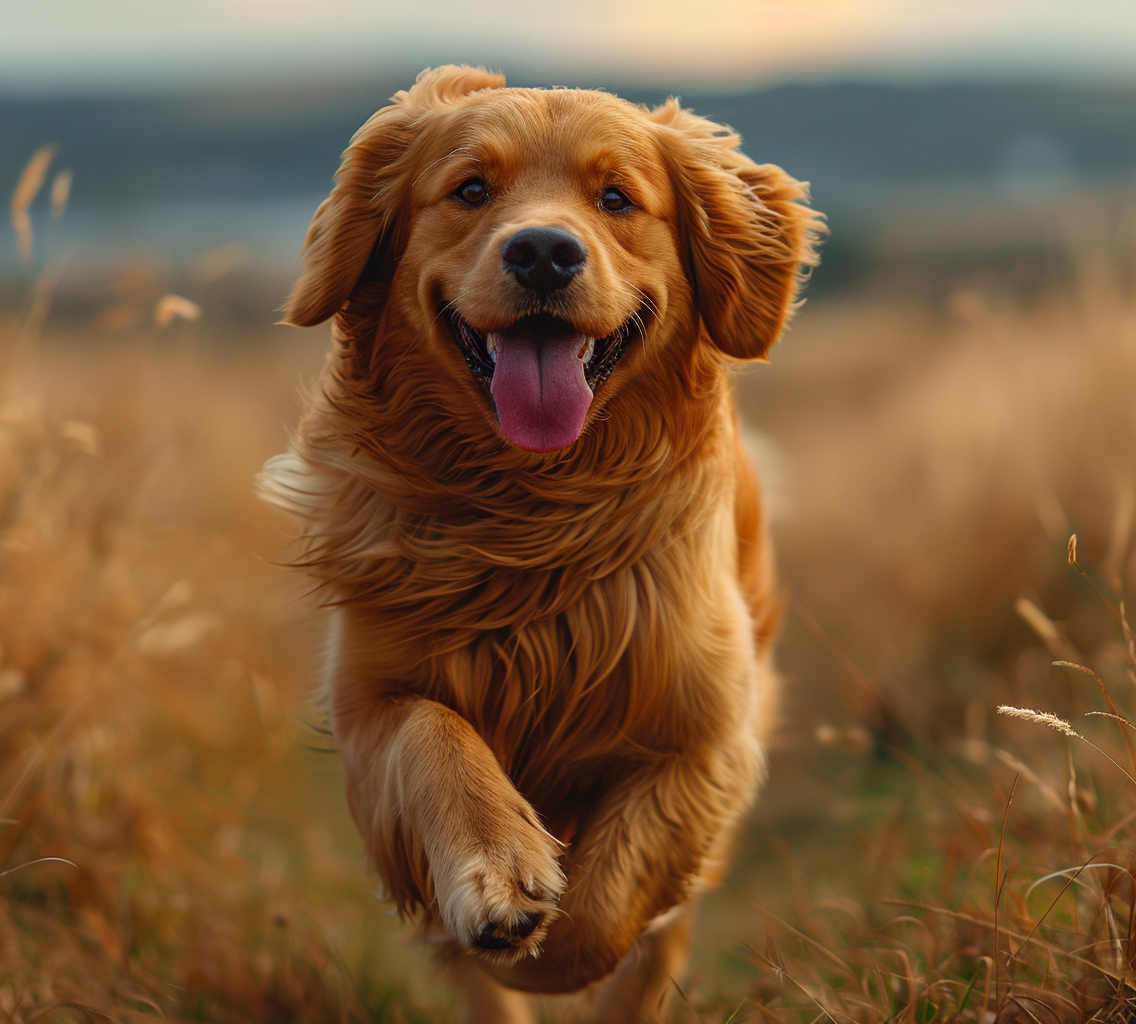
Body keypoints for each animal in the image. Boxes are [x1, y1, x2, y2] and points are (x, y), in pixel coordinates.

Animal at [261, 65, 822, 1022]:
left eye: (617, 198)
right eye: (470, 190)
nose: (544, 253)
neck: (532, 514)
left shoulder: (705, 735)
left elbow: (611, 900)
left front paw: (550, 940)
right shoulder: (370, 708)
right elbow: (435, 737)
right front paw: (498, 882)